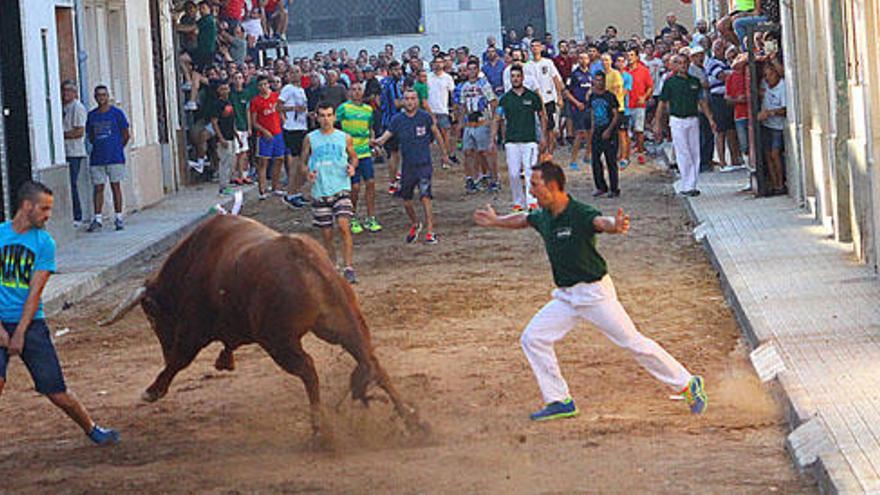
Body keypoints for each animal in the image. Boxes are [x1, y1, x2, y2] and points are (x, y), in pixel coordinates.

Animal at [99, 215, 422, 440]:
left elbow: (180, 359)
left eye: (152, 318)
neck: (194, 260)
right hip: (344, 325)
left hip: (279, 341)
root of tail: (306, 258)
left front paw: (152, 391)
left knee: (309, 370)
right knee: (372, 362)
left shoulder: (193, 330)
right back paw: (415, 422)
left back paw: (320, 431)